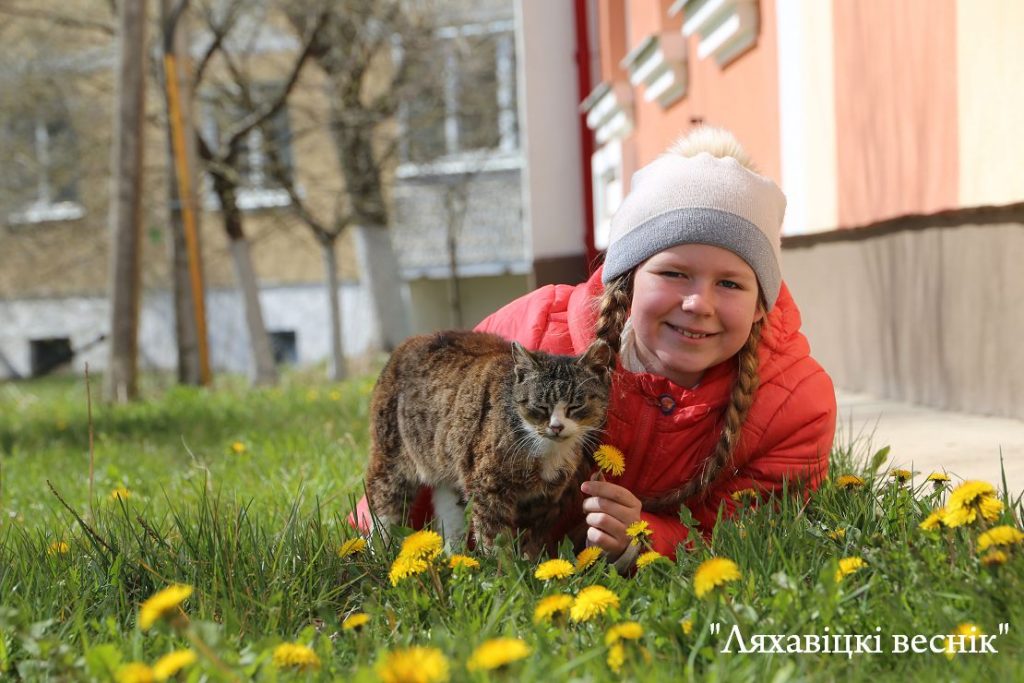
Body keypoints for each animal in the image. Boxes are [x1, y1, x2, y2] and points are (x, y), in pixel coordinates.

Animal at [364, 330, 612, 558]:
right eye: (540, 406)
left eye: (575, 406)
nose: (556, 427)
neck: (546, 448)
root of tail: (409, 342)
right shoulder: (488, 488)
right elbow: (494, 536)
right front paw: (503, 569)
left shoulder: (541, 502)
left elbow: (530, 539)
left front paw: (531, 567)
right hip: (391, 461)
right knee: (383, 505)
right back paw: (379, 553)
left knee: (450, 517)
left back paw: (456, 559)